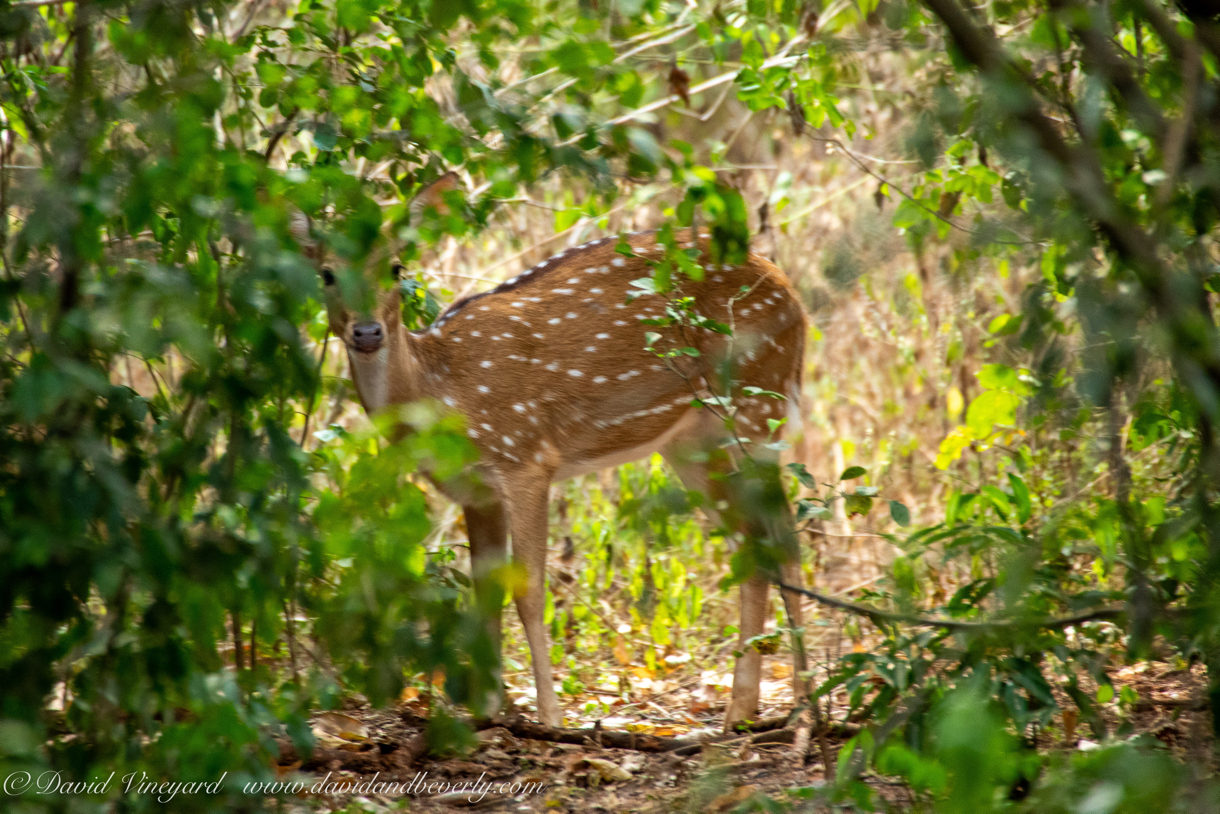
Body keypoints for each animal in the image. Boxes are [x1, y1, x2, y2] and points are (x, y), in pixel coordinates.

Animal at [314, 176, 810, 727]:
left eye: (396, 267)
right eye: (326, 273)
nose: (366, 332)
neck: (441, 391)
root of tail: (793, 294)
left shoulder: (526, 455)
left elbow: (530, 589)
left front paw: (549, 718)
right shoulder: (476, 492)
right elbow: (484, 593)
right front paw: (489, 713)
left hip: (758, 399)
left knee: (788, 540)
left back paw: (805, 706)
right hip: (694, 442)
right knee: (754, 545)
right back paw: (740, 712)